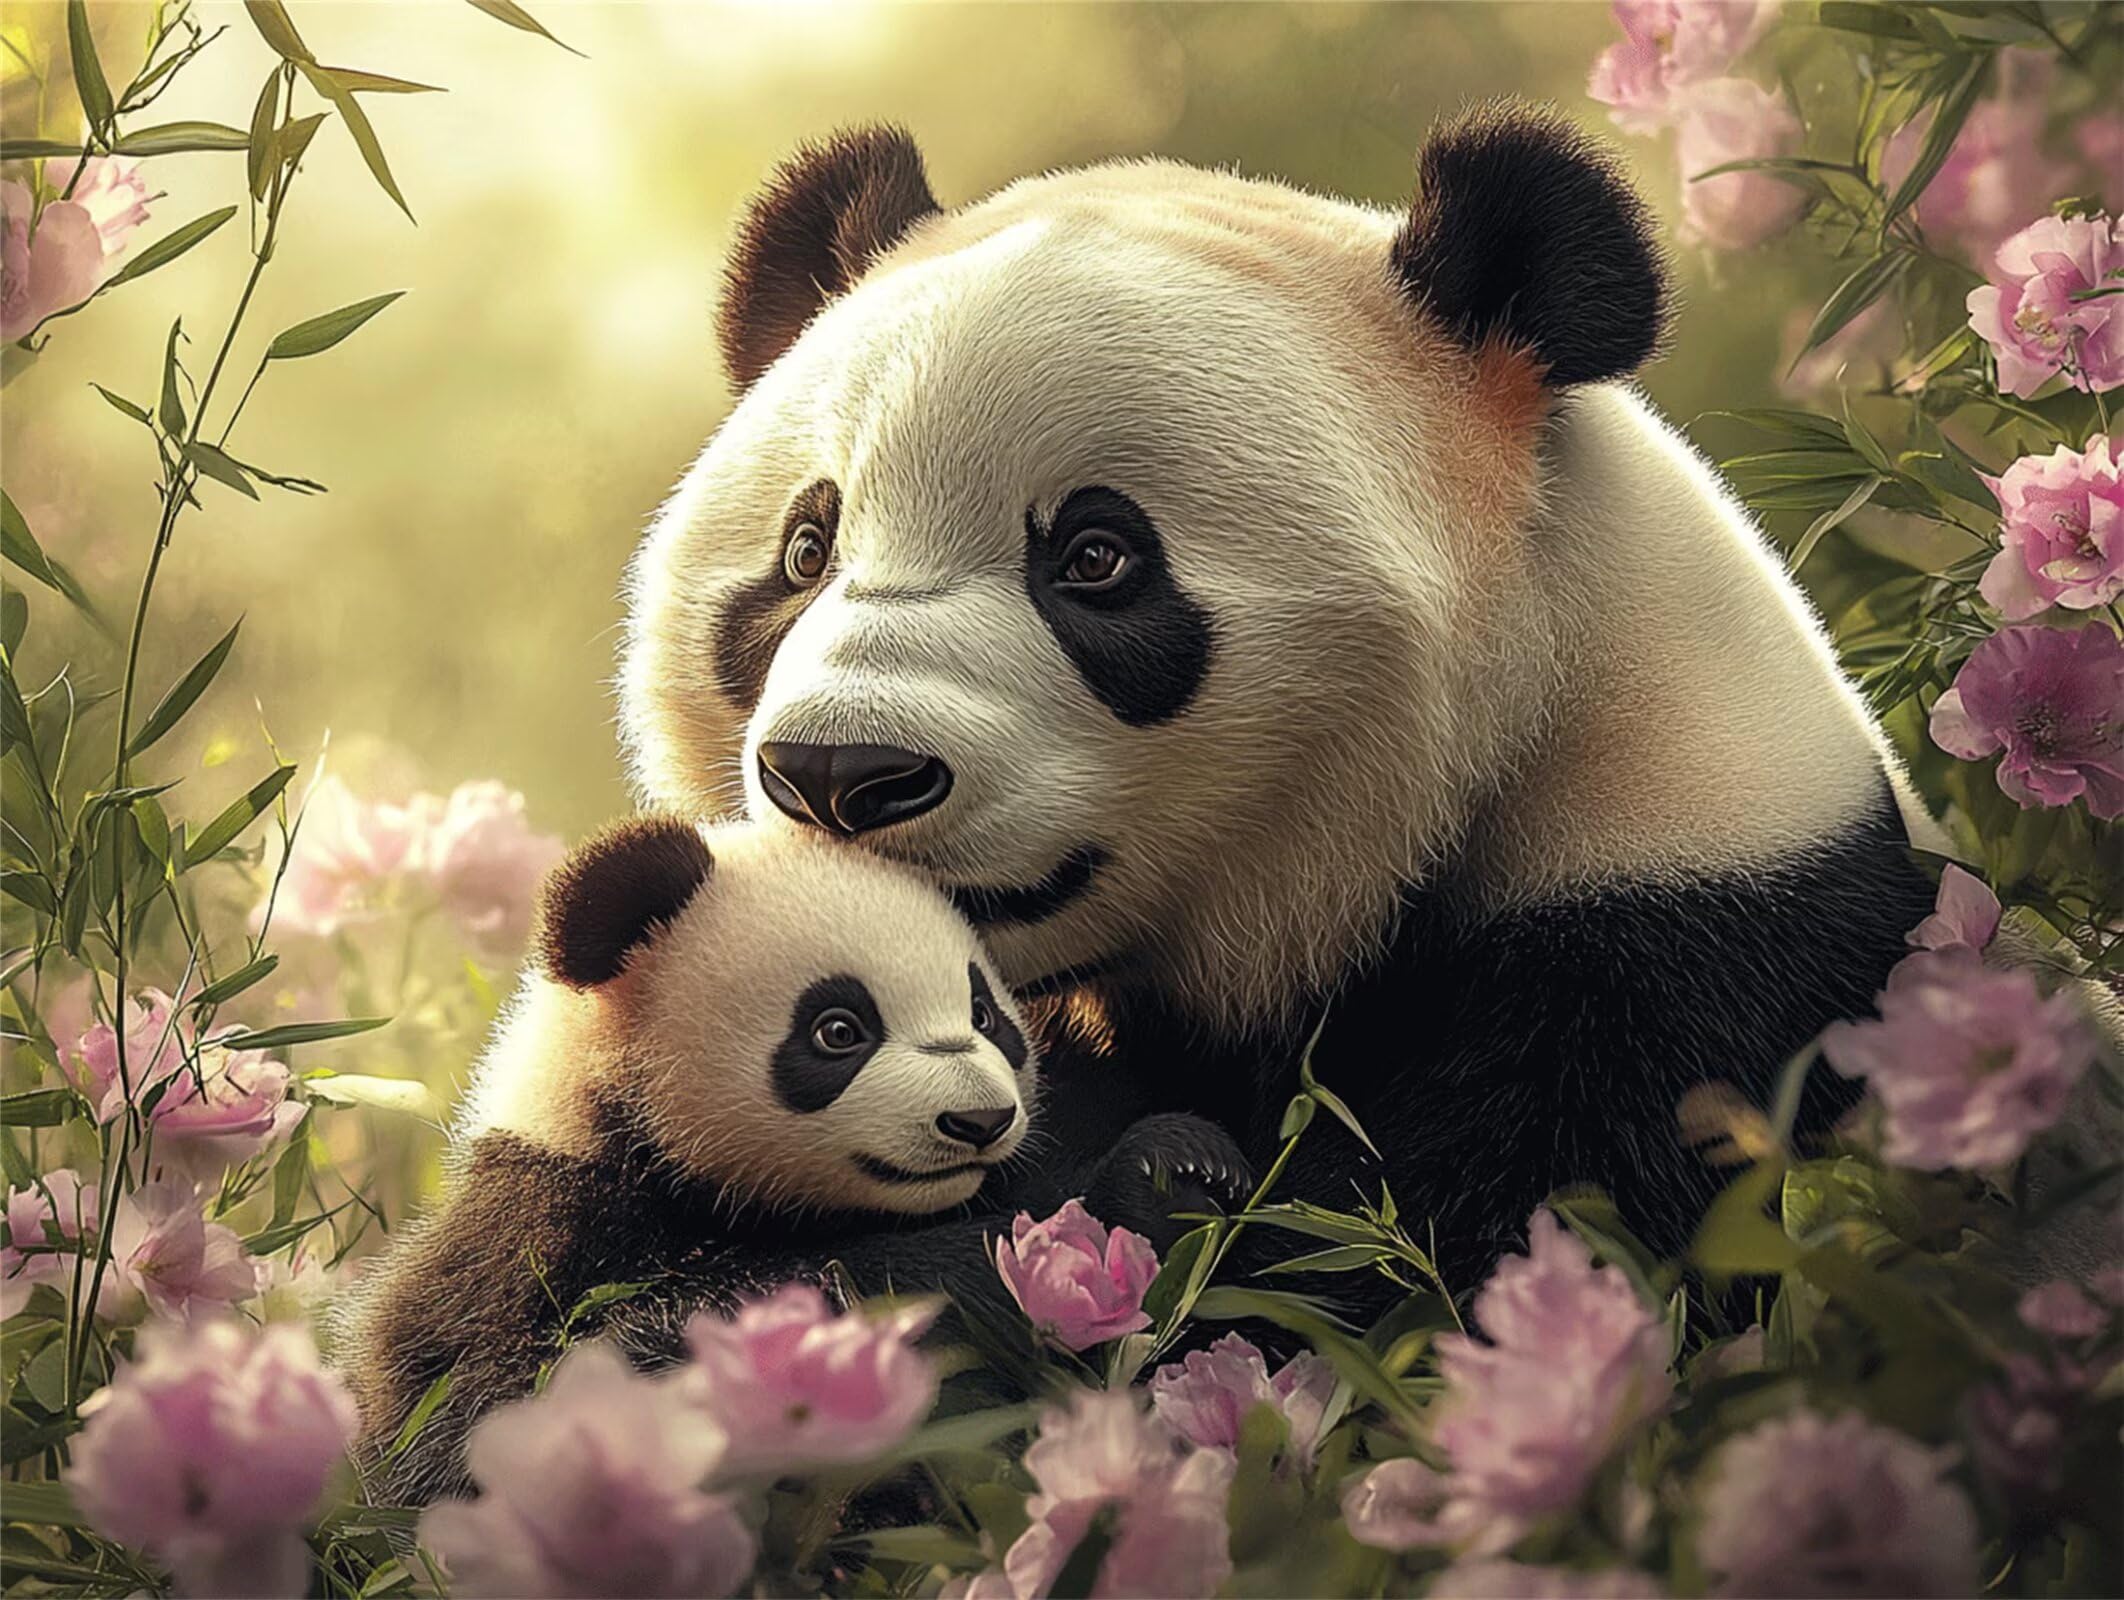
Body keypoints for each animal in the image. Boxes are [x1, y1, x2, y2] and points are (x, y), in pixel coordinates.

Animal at [340, 815, 1244, 1504]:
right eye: (838, 1029)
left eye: (986, 1013)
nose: (980, 1120)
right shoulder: (542, 1230)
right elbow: (517, 1403)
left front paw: (1182, 1173)